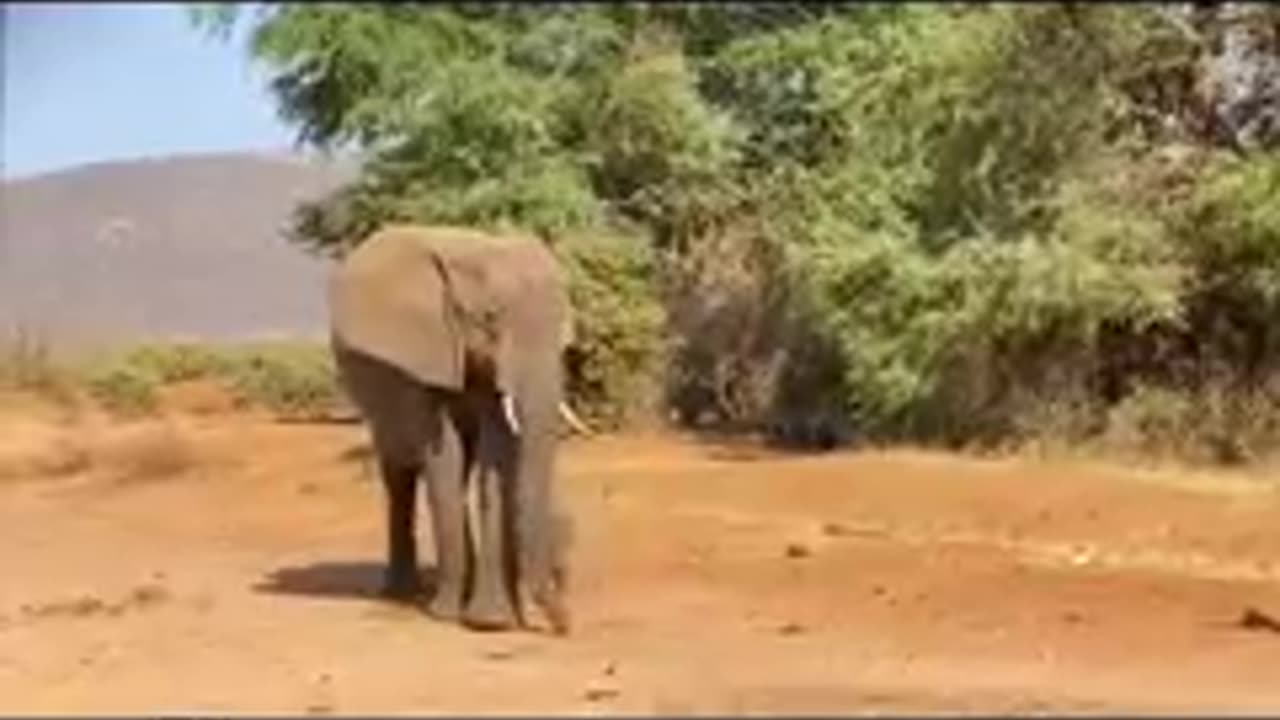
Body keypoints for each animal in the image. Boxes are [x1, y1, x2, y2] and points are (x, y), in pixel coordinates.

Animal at [330, 221, 588, 630]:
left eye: (565, 336)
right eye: (491, 319)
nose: (565, 627)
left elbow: (495, 453)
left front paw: (491, 623)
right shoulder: (424, 353)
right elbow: (443, 454)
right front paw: (452, 616)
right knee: (401, 471)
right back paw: (403, 595)